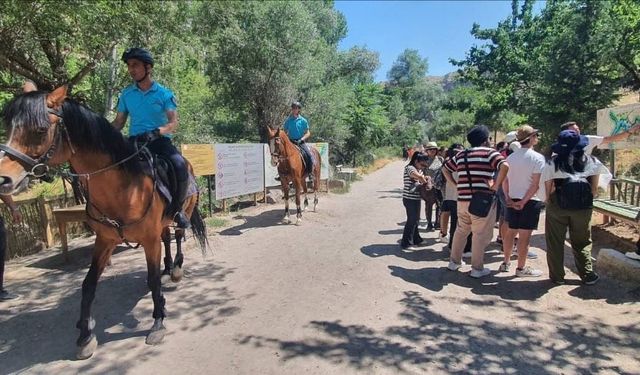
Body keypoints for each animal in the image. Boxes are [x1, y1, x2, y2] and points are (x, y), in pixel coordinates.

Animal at [0, 86, 208, 360]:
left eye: (41, 130)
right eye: (10, 126)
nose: (4, 179)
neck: (125, 187)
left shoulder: (149, 240)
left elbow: (152, 280)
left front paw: (157, 322)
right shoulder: (105, 240)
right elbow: (88, 285)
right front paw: (85, 336)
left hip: (184, 212)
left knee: (180, 236)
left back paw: (175, 270)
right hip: (159, 227)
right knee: (167, 238)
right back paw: (167, 268)